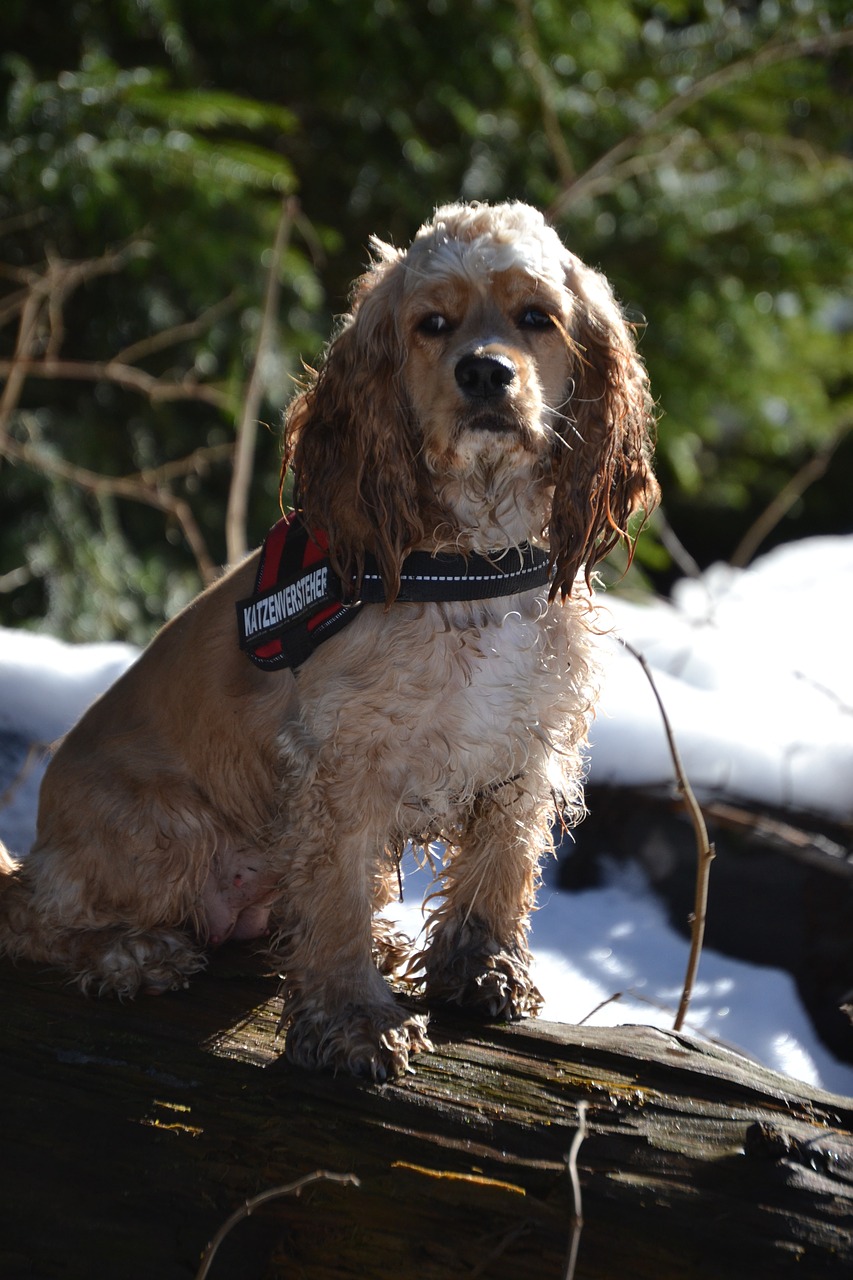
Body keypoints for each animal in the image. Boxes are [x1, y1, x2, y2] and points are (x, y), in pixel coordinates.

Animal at [0, 199, 655, 1080]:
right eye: (432, 323)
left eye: (534, 317)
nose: (485, 373)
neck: (479, 557)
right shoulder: (345, 762)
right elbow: (337, 895)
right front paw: (354, 1023)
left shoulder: (525, 743)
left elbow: (500, 865)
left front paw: (482, 972)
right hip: (170, 832)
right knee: (31, 919)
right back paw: (133, 956)